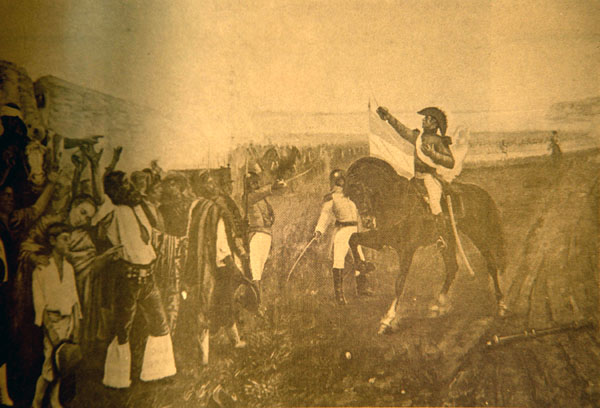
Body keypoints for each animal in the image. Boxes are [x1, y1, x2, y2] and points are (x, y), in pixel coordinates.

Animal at [344, 158, 508, 334]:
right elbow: (352, 239)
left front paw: (388, 319)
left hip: (478, 235)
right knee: (452, 267)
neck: (398, 201)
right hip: (449, 239)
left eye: (362, 189)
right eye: (352, 196)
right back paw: (438, 305)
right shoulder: (381, 239)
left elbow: (399, 283)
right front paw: (364, 265)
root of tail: (479, 192)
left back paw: (501, 305)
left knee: (491, 265)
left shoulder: (407, 250)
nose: (367, 221)